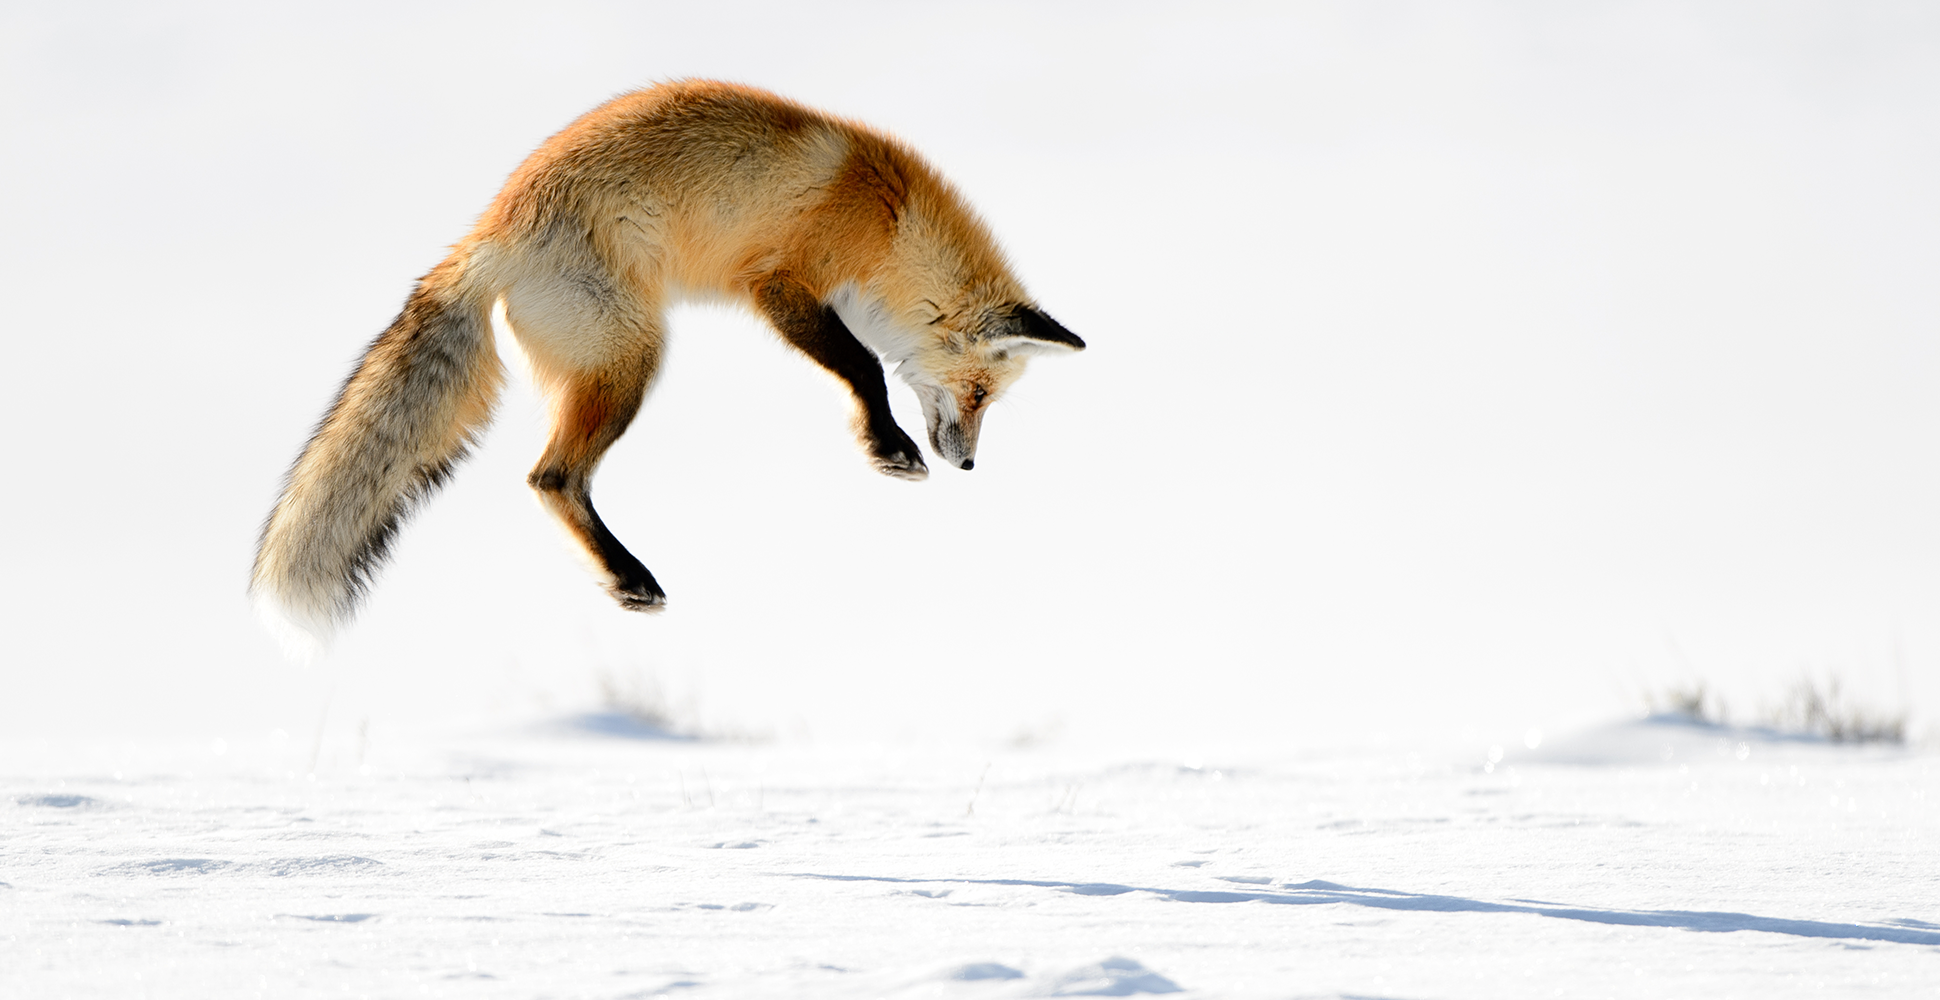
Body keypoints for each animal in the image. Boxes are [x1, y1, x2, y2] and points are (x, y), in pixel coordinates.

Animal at [251, 79, 1084, 657]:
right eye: (979, 392)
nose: (969, 465)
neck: (888, 220)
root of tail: (491, 231)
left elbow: (865, 366)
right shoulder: (782, 284)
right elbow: (864, 367)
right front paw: (888, 449)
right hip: (630, 362)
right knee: (553, 477)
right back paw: (629, 579)